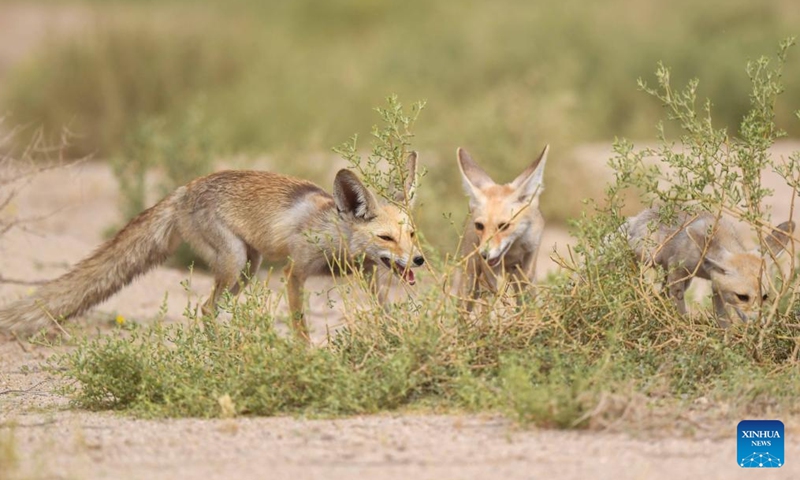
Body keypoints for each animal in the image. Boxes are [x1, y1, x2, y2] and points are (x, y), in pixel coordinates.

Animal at [0, 153, 424, 341]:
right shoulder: (295, 273)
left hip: (246, 273)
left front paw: (394, 338)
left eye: (413, 234)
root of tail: (184, 188)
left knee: (210, 308)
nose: (418, 259)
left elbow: (383, 310)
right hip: (235, 264)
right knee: (205, 308)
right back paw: (220, 350)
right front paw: (306, 357)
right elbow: (301, 325)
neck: (334, 236)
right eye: (386, 237)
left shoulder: (368, 276)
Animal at [456, 145, 550, 309]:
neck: (514, 249)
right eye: (480, 226)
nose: (484, 254)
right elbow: (500, 298)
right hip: (470, 277)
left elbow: (525, 294)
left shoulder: (530, 256)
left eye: (504, 226)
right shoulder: (491, 270)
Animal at [624, 207, 795, 325]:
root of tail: (640, 215)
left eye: (765, 297)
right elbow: (680, 308)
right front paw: (683, 324)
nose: (759, 323)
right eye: (742, 297)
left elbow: (724, 322)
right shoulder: (677, 268)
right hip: (650, 256)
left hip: (681, 278)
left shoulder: (717, 289)